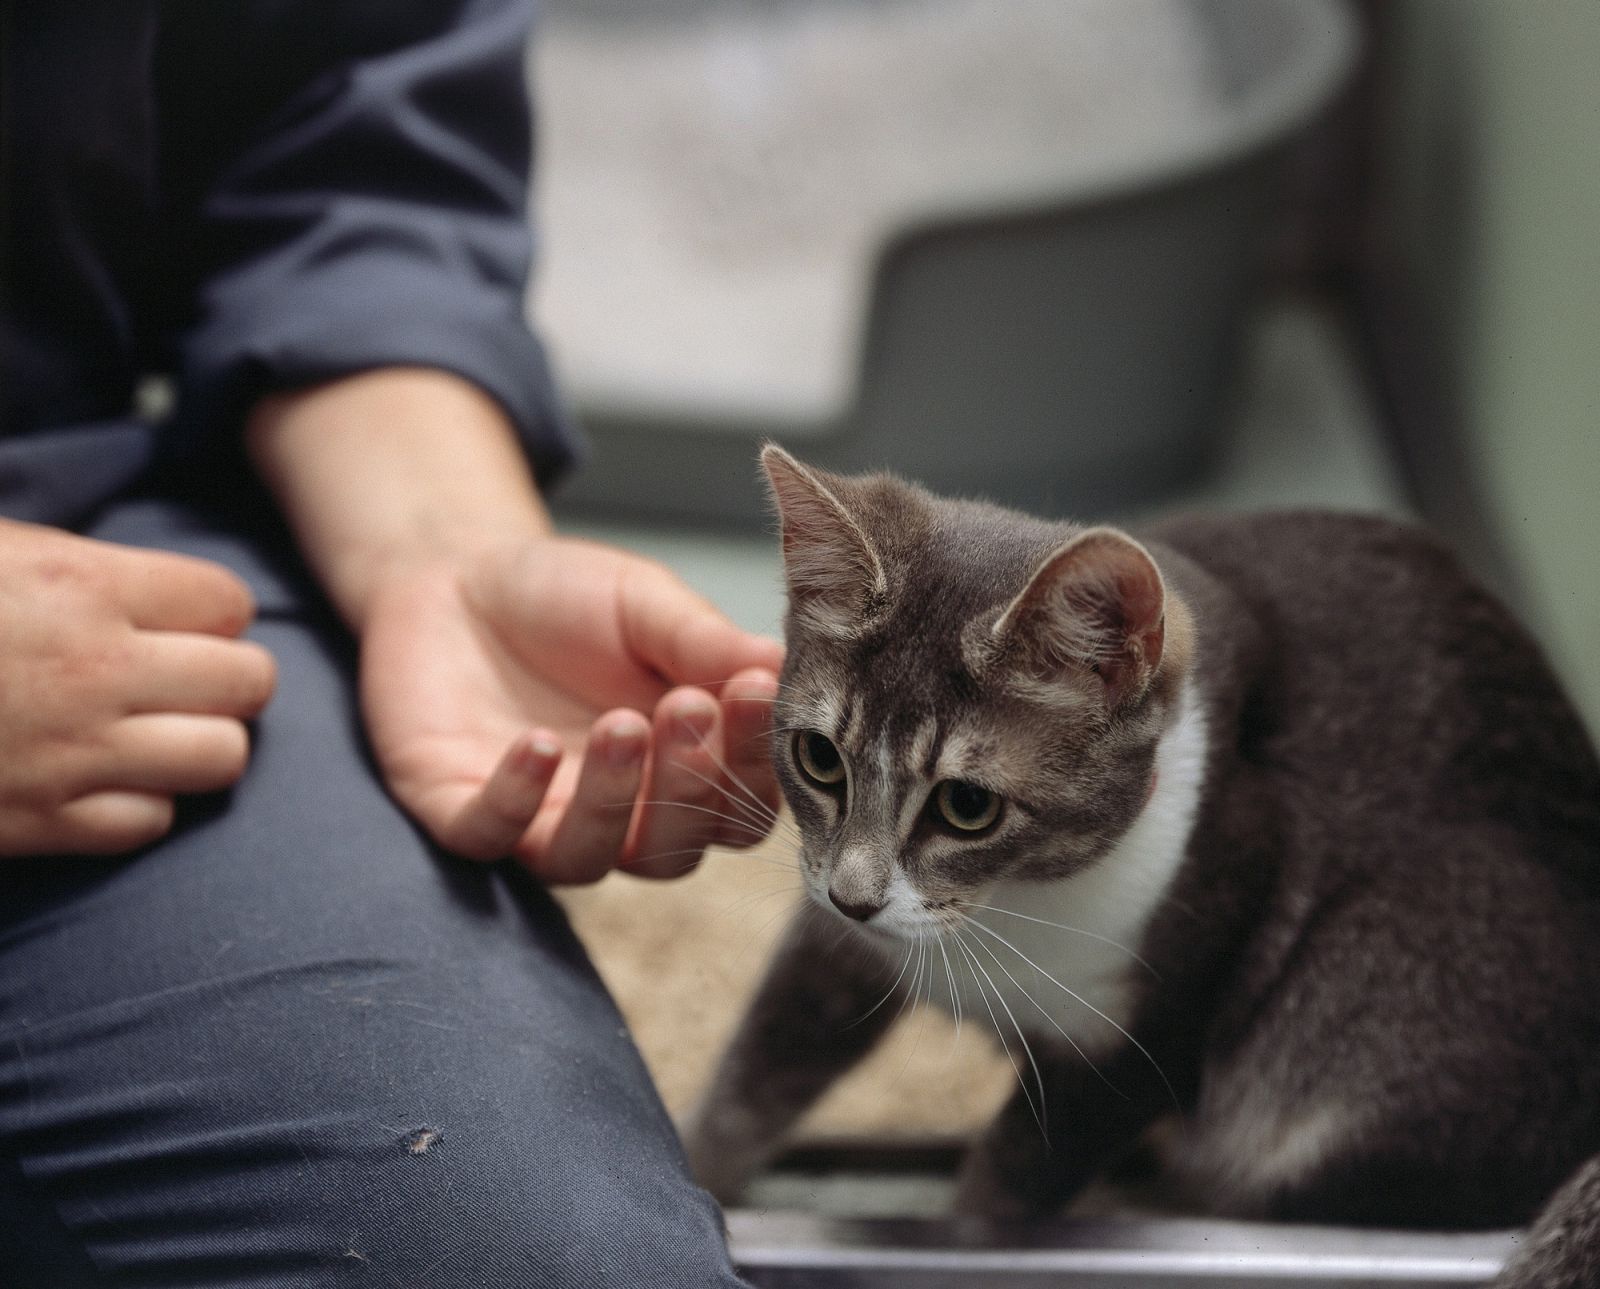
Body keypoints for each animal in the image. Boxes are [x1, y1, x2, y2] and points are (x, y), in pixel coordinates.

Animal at [691, 447, 1600, 1289]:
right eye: (819, 757)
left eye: (967, 804)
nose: (855, 897)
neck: (1010, 904)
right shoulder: (835, 946)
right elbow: (752, 1079)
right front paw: (699, 1174)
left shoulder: (1145, 1032)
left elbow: (1005, 1191)